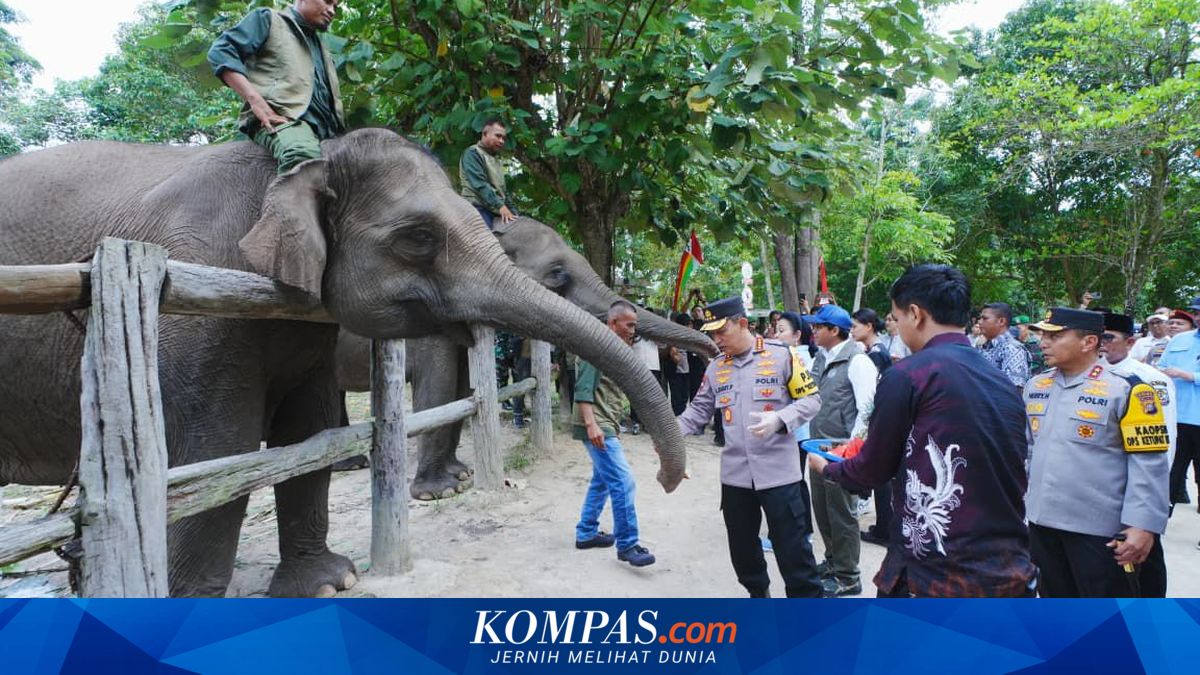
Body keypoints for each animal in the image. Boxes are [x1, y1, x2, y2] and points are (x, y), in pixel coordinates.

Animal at [332, 216, 718, 500]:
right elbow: (439, 385)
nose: (714, 350)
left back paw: (350, 463)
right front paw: (439, 492)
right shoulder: (429, 305)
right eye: (558, 273)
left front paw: (461, 474)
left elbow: (460, 386)